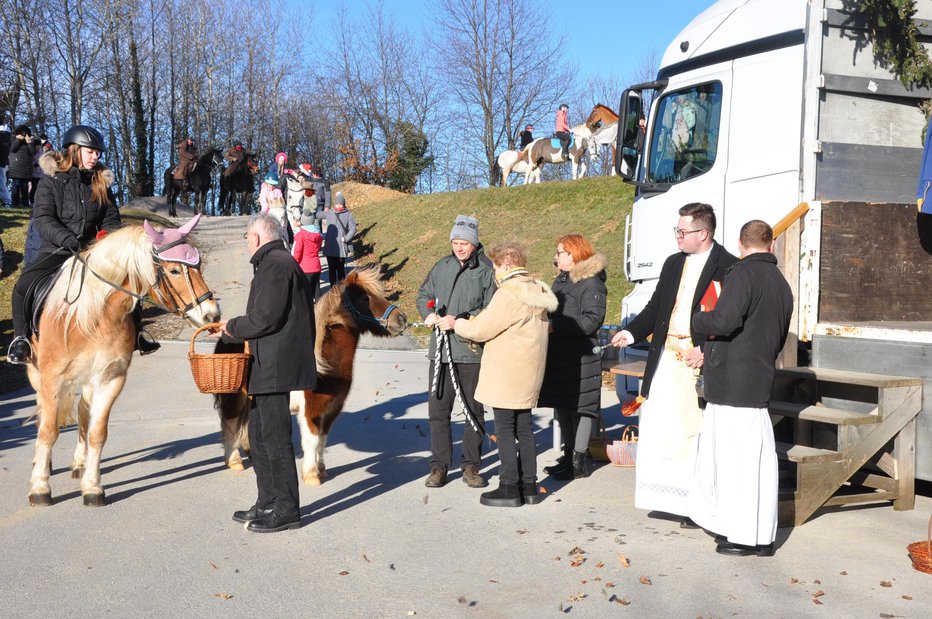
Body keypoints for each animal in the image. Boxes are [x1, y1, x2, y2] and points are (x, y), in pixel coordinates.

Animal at [27, 216, 220, 506]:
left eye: (196, 266)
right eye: (174, 270)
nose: (211, 314)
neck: (94, 316)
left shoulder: (110, 378)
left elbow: (97, 433)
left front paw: (92, 487)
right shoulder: (52, 378)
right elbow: (49, 430)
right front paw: (40, 487)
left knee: (83, 412)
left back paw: (80, 463)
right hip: (36, 371)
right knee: (44, 415)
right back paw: (43, 464)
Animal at [220, 268, 410, 486]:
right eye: (364, 297)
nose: (402, 319)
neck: (323, 368)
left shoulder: (331, 409)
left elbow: (322, 439)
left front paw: (321, 468)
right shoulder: (311, 409)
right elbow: (311, 440)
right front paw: (311, 475)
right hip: (235, 398)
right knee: (230, 424)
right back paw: (234, 461)